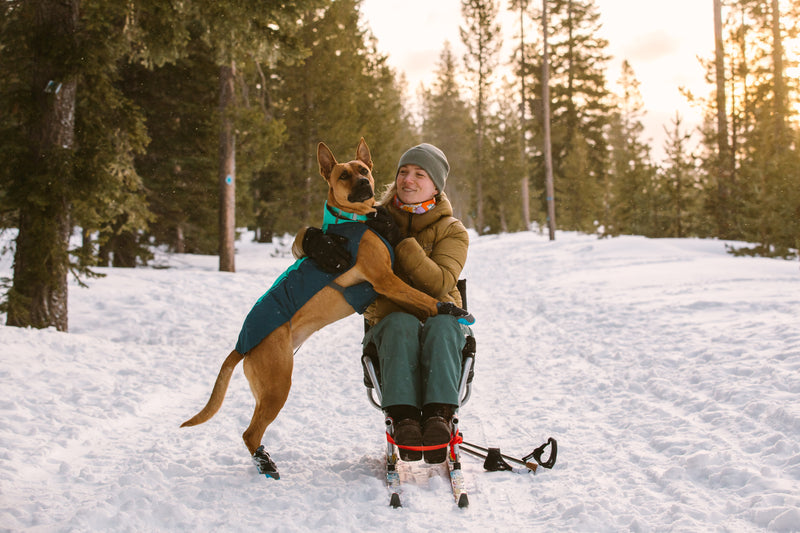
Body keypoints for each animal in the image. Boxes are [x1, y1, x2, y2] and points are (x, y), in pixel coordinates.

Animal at [184, 138, 472, 478]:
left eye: (362, 170)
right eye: (343, 175)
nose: (363, 183)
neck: (354, 220)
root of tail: (241, 347)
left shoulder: (389, 282)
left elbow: (418, 299)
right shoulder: (385, 280)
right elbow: (424, 297)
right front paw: (449, 309)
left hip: (269, 387)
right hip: (277, 385)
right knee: (249, 433)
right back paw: (265, 463)